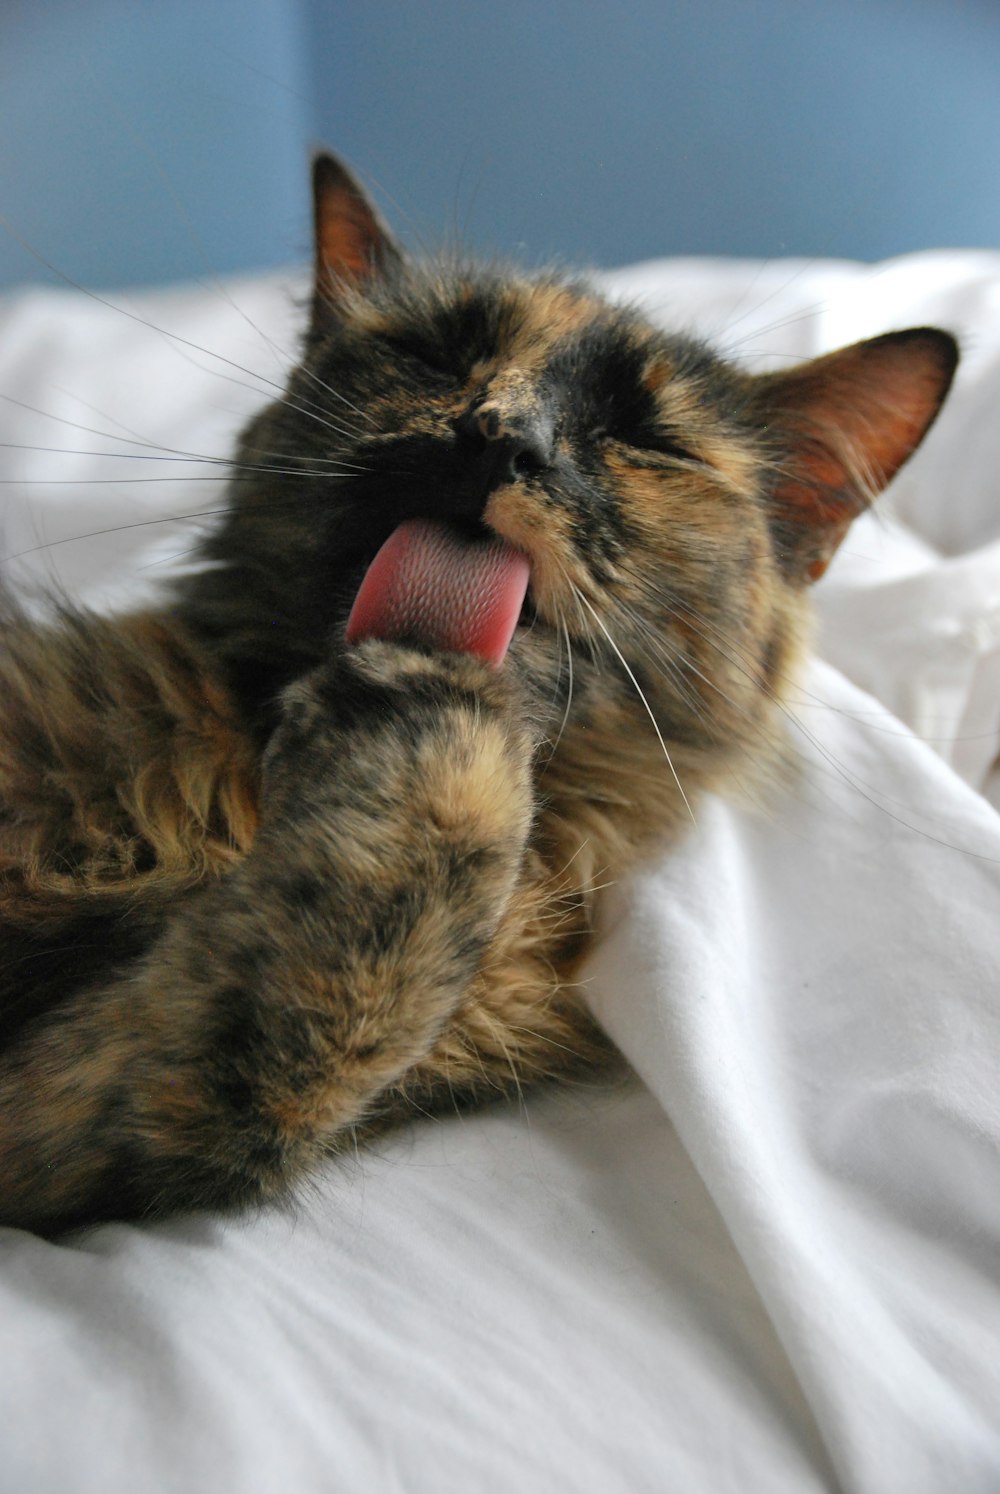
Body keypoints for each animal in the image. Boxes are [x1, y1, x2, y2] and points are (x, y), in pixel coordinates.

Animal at [0, 154, 956, 1237]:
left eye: (646, 437)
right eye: (432, 353)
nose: (501, 436)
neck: (235, 804)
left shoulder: (97, 1121)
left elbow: (312, 1020)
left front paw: (425, 730)